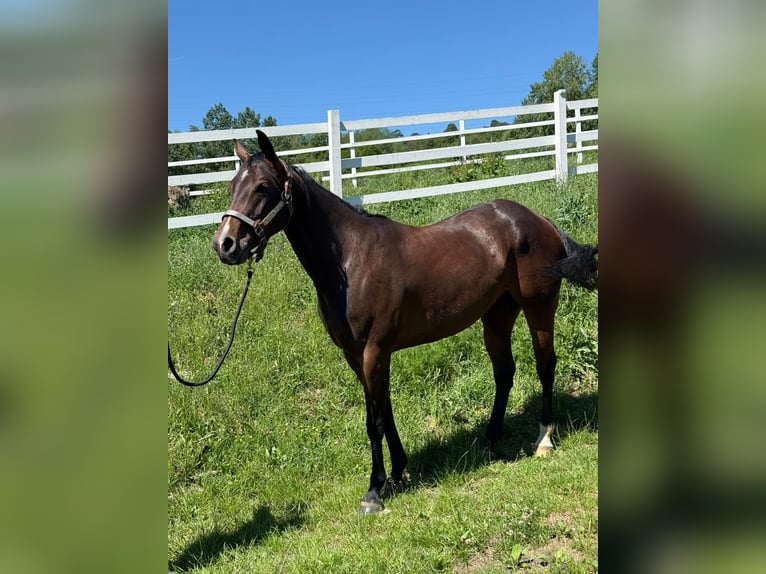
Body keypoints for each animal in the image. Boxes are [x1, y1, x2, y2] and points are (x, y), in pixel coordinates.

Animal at [211, 130, 598, 514]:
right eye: (232, 185)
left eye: (262, 187)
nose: (225, 244)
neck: (352, 261)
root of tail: (539, 220)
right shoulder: (358, 356)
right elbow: (385, 408)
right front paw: (398, 472)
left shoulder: (374, 351)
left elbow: (375, 421)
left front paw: (373, 491)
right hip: (497, 314)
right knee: (504, 372)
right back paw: (489, 442)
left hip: (539, 307)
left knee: (545, 364)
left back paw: (544, 438)